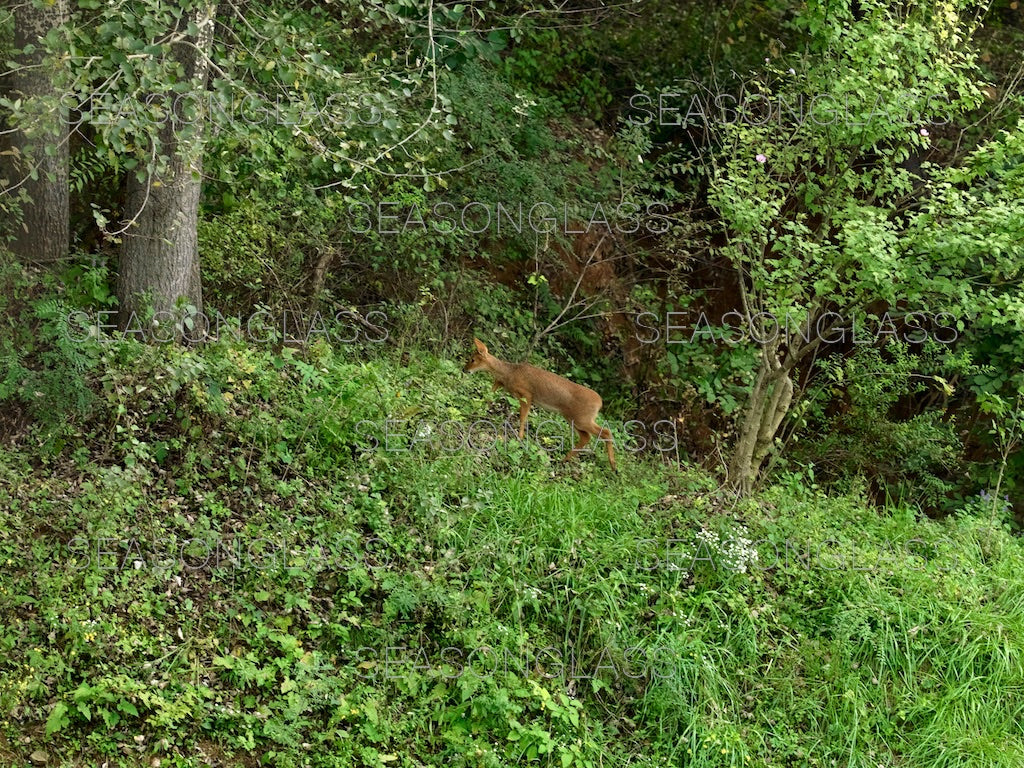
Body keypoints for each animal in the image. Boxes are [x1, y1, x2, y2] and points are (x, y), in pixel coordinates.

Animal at [464, 339, 614, 473]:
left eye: (472, 359)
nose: (464, 369)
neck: (509, 373)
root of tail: (599, 403)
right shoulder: (503, 386)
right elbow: (490, 396)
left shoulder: (527, 394)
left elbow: (523, 417)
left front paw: (520, 437)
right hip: (573, 418)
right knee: (586, 437)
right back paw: (565, 460)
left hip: (581, 418)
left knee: (606, 431)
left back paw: (613, 465)